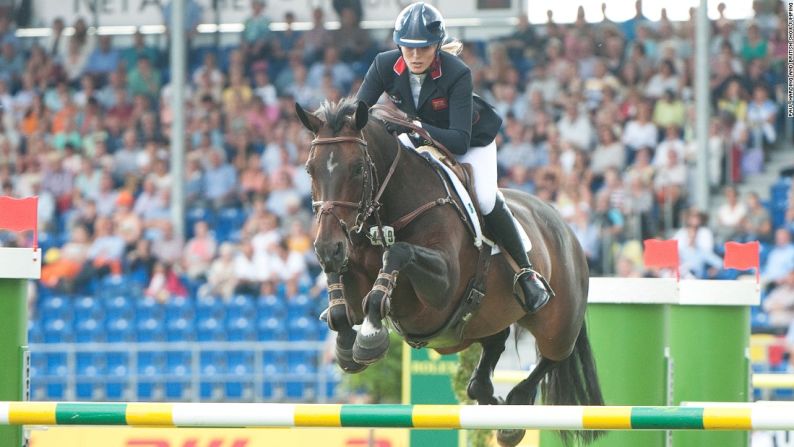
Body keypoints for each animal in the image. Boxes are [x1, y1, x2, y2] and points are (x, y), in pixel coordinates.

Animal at [296, 99, 600, 447]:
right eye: (310, 169)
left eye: (358, 168)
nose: (327, 247)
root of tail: (563, 226)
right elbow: (341, 308)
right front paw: (348, 347)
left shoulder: (440, 287)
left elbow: (396, 255)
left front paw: (370, 338)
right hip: (486, 317)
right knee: (491, 355)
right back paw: (494, 403)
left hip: (558, 324)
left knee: (551, 357)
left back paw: (514, 410)